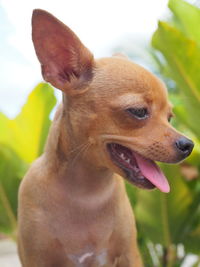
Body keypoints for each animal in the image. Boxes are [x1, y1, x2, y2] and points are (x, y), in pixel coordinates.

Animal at [17, 9, 194, 266]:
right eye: (138, 111)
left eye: (170, 117)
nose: (189, 144)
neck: (86, 195)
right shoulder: (37, 259)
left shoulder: (130, 255)